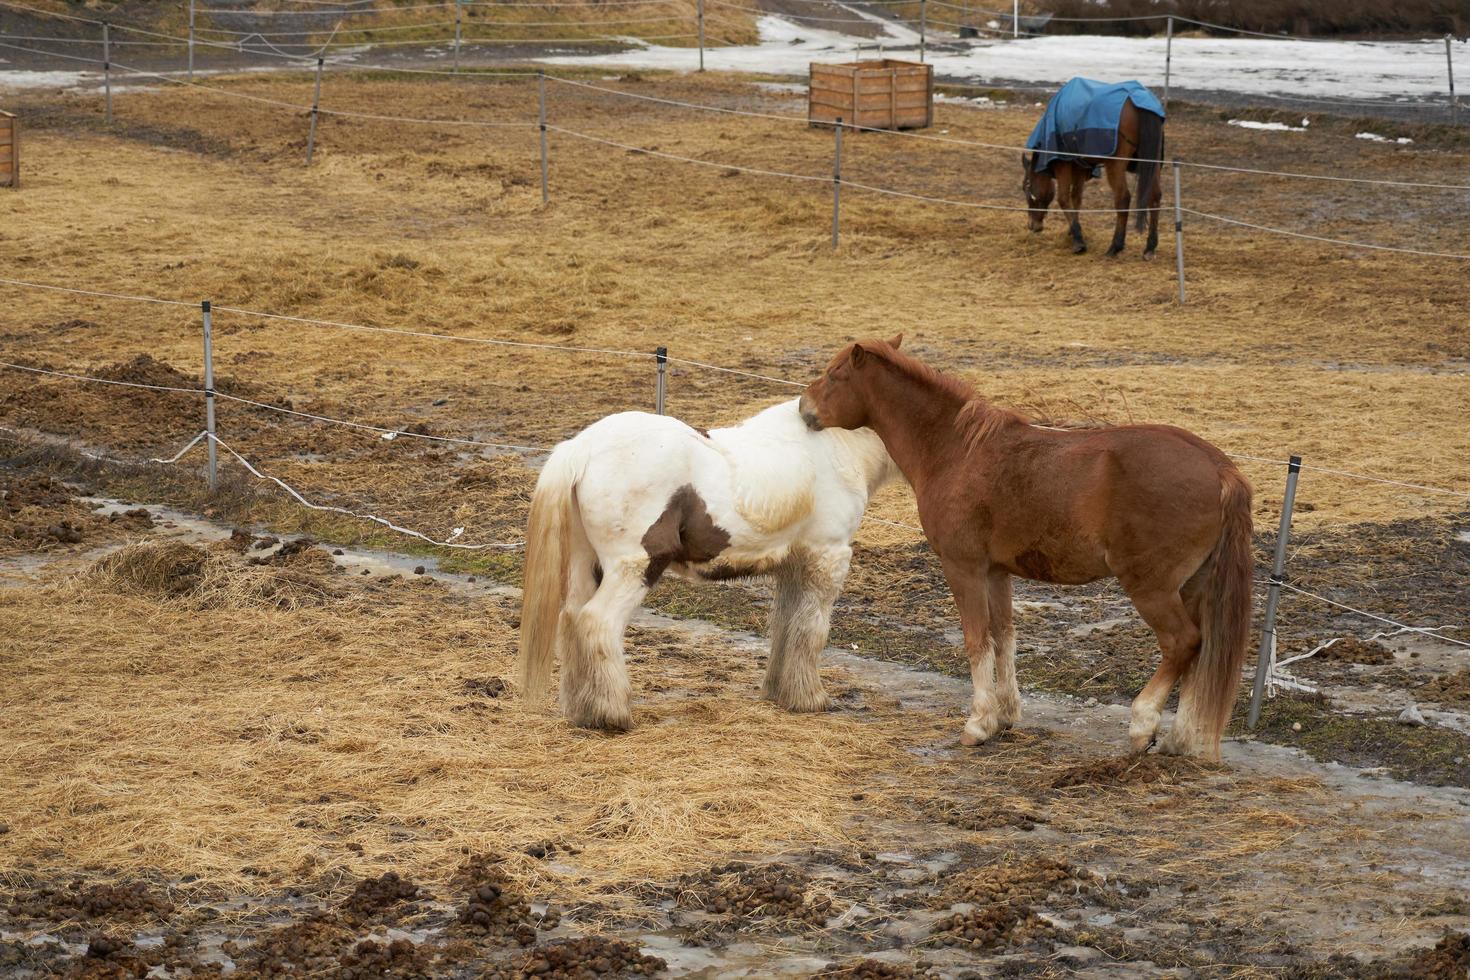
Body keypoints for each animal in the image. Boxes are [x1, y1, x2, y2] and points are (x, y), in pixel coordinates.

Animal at [517, 396, 905, 728]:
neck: (832, 445)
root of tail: (582, 447)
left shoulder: (796, 565)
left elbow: (787, 625)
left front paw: (780, 694)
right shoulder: (827, 555)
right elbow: (812, 630)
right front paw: (809, 699)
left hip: (587, 565)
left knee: (571, 618)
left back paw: (581, 710)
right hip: (634, 569)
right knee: (597, 623)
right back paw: (611, 715)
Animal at [805, 340, 1252, 764]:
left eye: (835, 374)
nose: (804, 407)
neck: (956, 450)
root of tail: (1218, 467)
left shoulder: (963, 568)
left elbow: (976, 640)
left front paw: (978, 724)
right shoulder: (996, 572)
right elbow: (1004, 637)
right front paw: (1005, 716)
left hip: (1151, 588)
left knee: (1182, 643)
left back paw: (1143, 726)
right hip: (1192, 587)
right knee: (1200, 652)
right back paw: (1181, 739)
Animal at [1029, 98, 1164, 258]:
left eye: (1027, 187)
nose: (1032, 226)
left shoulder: (1063, 164)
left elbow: (1063, 199)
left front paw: (1078, 241)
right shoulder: (1080, 166)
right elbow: (1076, 198)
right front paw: (1073, 231)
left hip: (1116, 165)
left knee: (1123, 198)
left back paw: (1115, 246)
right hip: (1151, 163)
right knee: (1154, 197)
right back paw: (1150, 247)